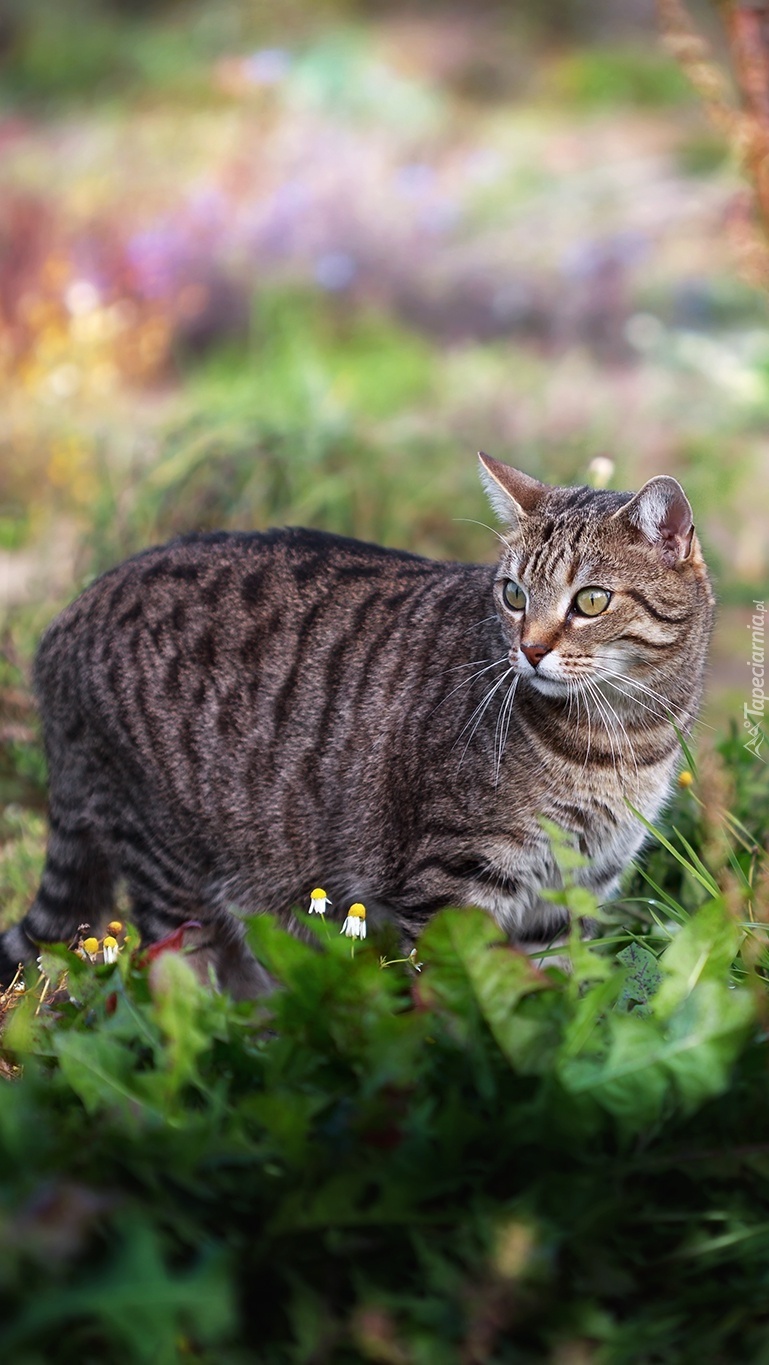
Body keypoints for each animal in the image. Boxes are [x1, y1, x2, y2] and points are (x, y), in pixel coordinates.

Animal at [0, 453, 715, 999]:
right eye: (513, 595)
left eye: (591, 600)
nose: (530, 649)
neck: (621, 740)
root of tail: (67, 617)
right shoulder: (451, 883)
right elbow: (459, 998)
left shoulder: (568, 898)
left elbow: (552, 994)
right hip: (172, 872)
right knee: (185, 980)